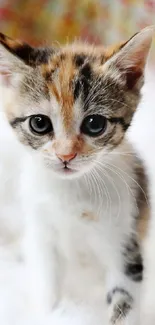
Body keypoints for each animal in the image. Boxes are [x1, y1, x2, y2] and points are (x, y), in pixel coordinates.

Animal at [0, 27, 153, 324]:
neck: (71, 191)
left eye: (95, 124)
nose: (66, 155)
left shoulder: (124, 239)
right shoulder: (41, 234)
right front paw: (53, 314)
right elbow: (47, 288)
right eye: (39, 123)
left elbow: (124, 301)